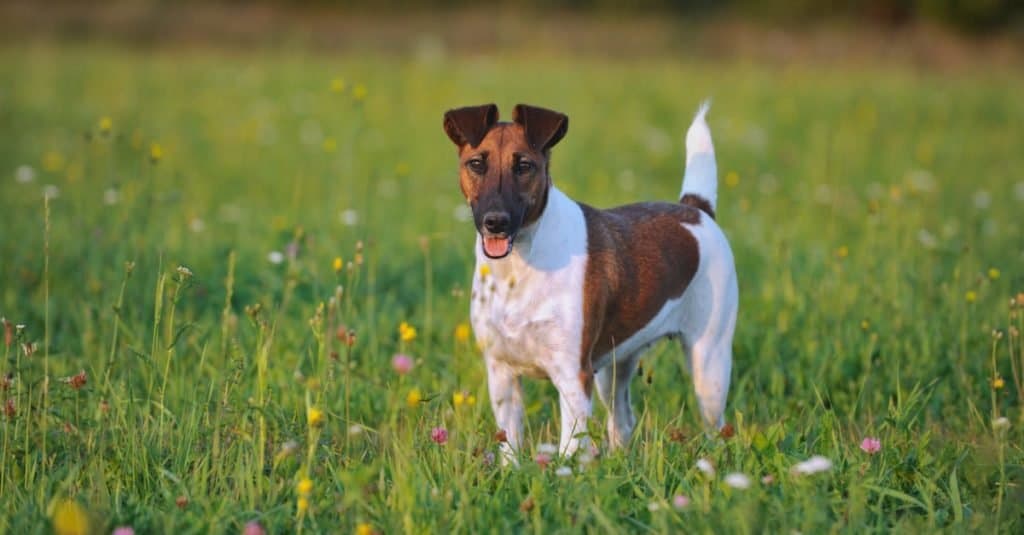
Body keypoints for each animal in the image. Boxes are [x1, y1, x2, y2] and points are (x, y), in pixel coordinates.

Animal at [440, 103, 737, 457]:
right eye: (476, 164)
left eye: (524, 166)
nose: (495, 222)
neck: (519, 267)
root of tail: (697, 210)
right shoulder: (502, 375)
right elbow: (509, 445)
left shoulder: (572, 377)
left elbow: (570, 447)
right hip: (614, 368)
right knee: (622, 421)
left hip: (709, 366)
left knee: (716, 427)